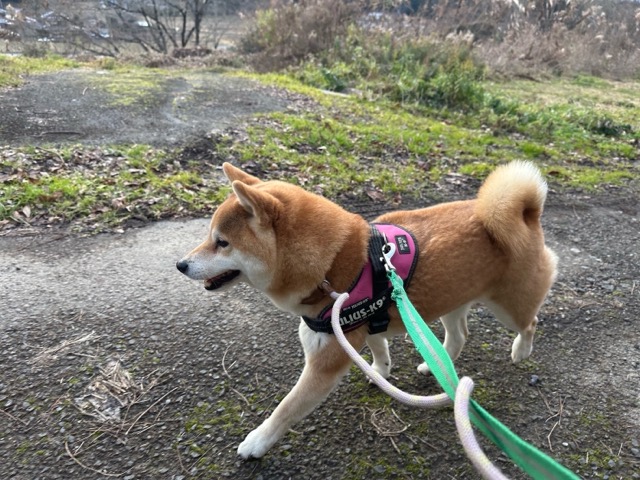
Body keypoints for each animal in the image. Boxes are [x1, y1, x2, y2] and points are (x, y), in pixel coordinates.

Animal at [176, 161, 558, 459]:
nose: (180, 265)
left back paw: (520, 351)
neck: (330, 266)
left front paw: (257, 441)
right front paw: (380, 372)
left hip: (509, 306)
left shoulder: (324, 362)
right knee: (459, 335)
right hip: (453, 298)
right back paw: (435, 365)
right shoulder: (364, 323)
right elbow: (380, 349)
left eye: (222, 243)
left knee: (531, 322)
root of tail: (526, 214)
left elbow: (288, 406)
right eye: (209, 237)